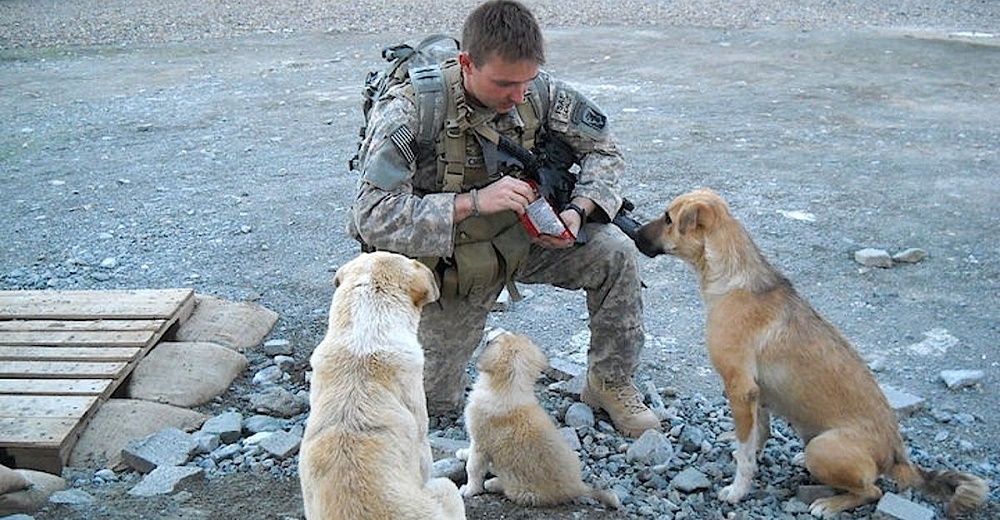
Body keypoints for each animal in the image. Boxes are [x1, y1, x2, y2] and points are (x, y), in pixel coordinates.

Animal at [458, 332, 616, 510]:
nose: (490, 332)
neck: (509, 389)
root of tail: (578, 486)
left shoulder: (481, 443)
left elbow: (473, 468)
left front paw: (469, 490)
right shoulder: (476, 441)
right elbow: (470, 453)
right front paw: (463, 453)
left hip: (523, 492)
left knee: (506, 486)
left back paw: (492, 482)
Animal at [636, 189, 988, 516]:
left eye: (668, 219)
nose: (636, 233)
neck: (733, 277)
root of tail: (897, 457)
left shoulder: (740, 386)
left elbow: (747, 449)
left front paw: (737, 489)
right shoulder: (757, 392)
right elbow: (758, 436)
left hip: (823, 448)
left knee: (872, 490)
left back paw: (828, 504)